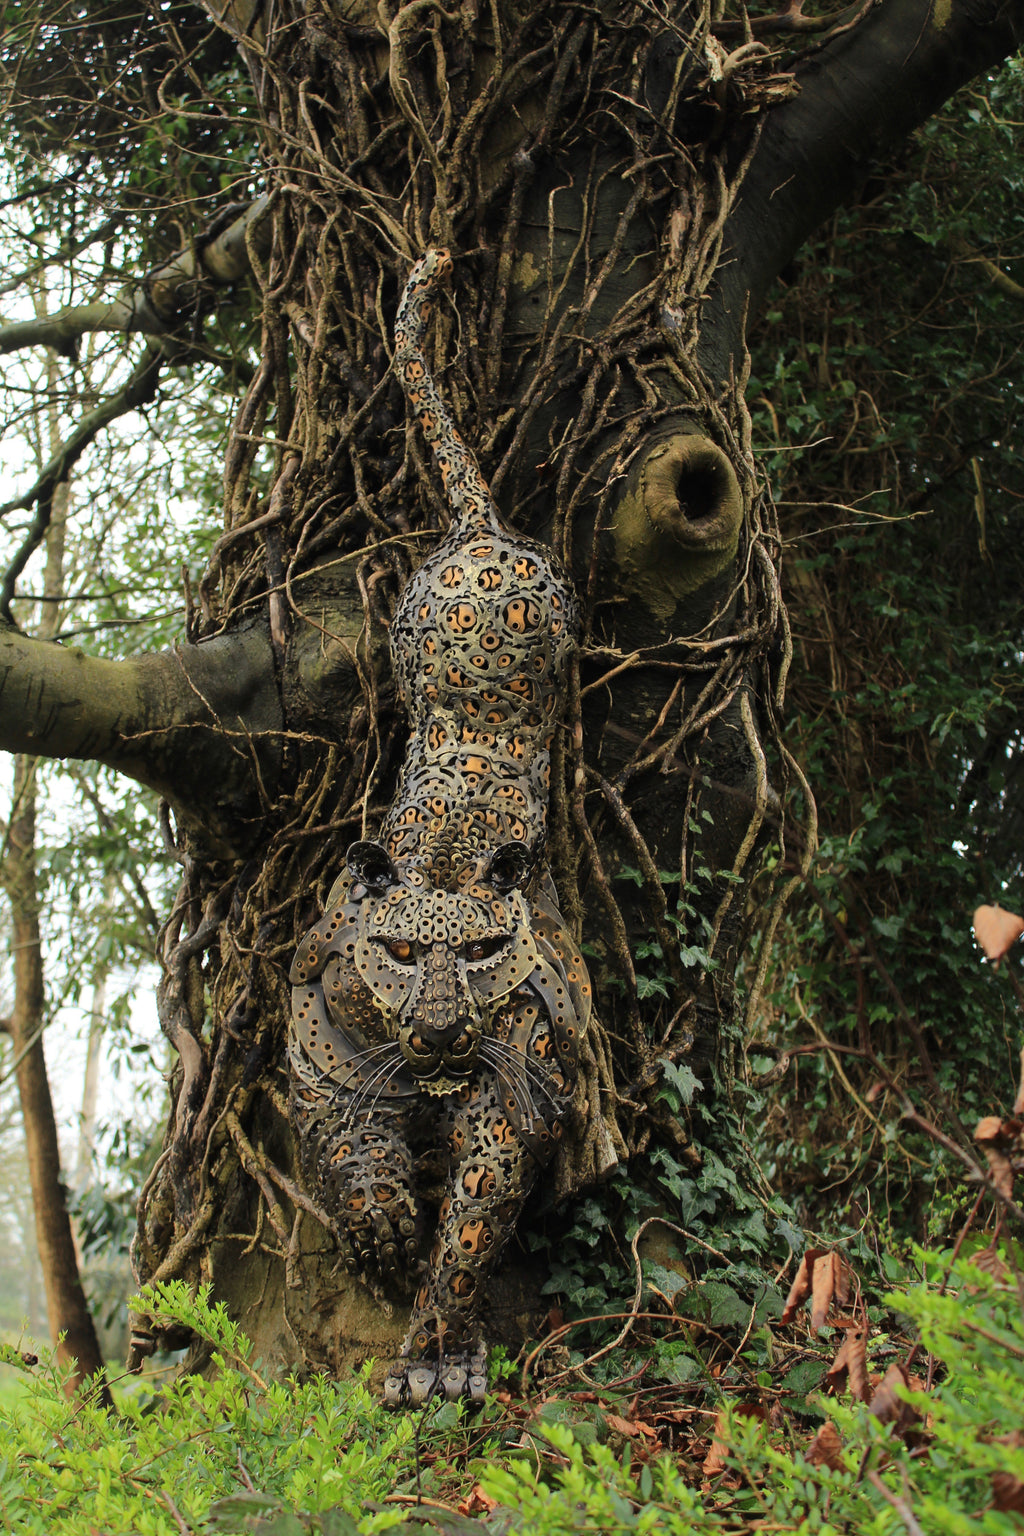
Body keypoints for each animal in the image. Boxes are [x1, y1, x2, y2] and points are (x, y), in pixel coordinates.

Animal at [289, 248, 591, 1408]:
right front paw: (380, 1232)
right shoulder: (322, 1062)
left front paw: (434, 1356)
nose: (439, 1030)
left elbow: (467, 1235)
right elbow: (352, 1156)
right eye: (402, 952)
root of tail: (477, 536)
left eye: (484, 952)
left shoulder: (516, 1095)